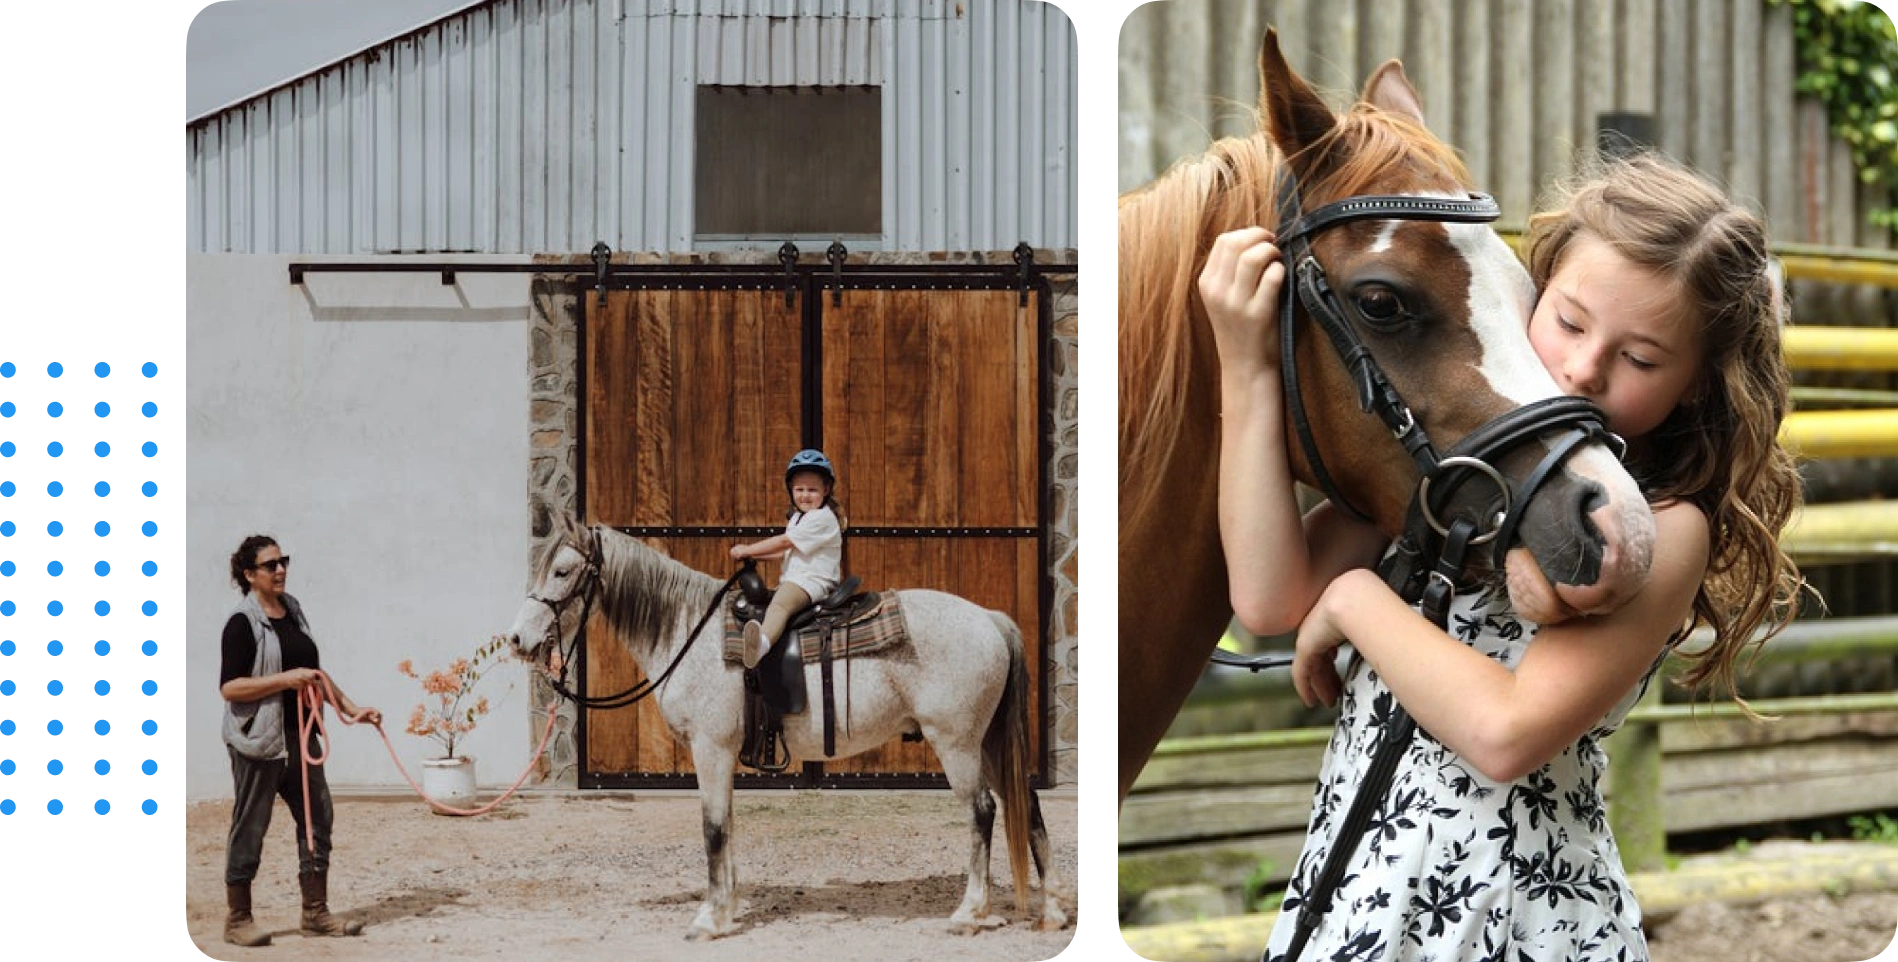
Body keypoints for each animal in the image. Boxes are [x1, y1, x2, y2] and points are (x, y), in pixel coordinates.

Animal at [504, 512, 1070, 941]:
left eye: (562, 571)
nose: (516, 640)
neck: (691, 632)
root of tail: (991, 619)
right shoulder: (721, 753)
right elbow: (728, 824)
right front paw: (728, 906)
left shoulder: (710, 748)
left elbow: (713, 828)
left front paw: (709, 919)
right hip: (987, 741)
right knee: (1027, 805)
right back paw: (1052, 910)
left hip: (957, 743)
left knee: (982, 812)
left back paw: (969, 912)